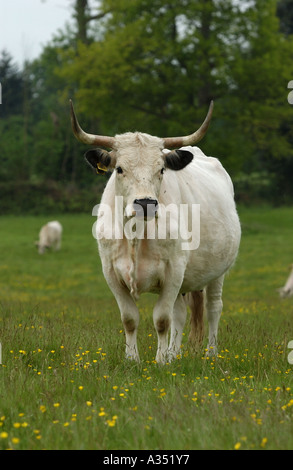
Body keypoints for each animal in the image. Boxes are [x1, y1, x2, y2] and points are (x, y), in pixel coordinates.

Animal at [70, 100, 240, 364]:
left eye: (161, 170)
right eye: (119, 169)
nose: (145, 203)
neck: (135, 234)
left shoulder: (173, 270)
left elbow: (161, 319)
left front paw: (159, 362)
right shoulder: (111, 273)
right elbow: (130, 319)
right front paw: (134, 359)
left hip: (217, 271)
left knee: (213, 308)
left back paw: (210, 354)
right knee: (180, 313)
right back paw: (174, 354)